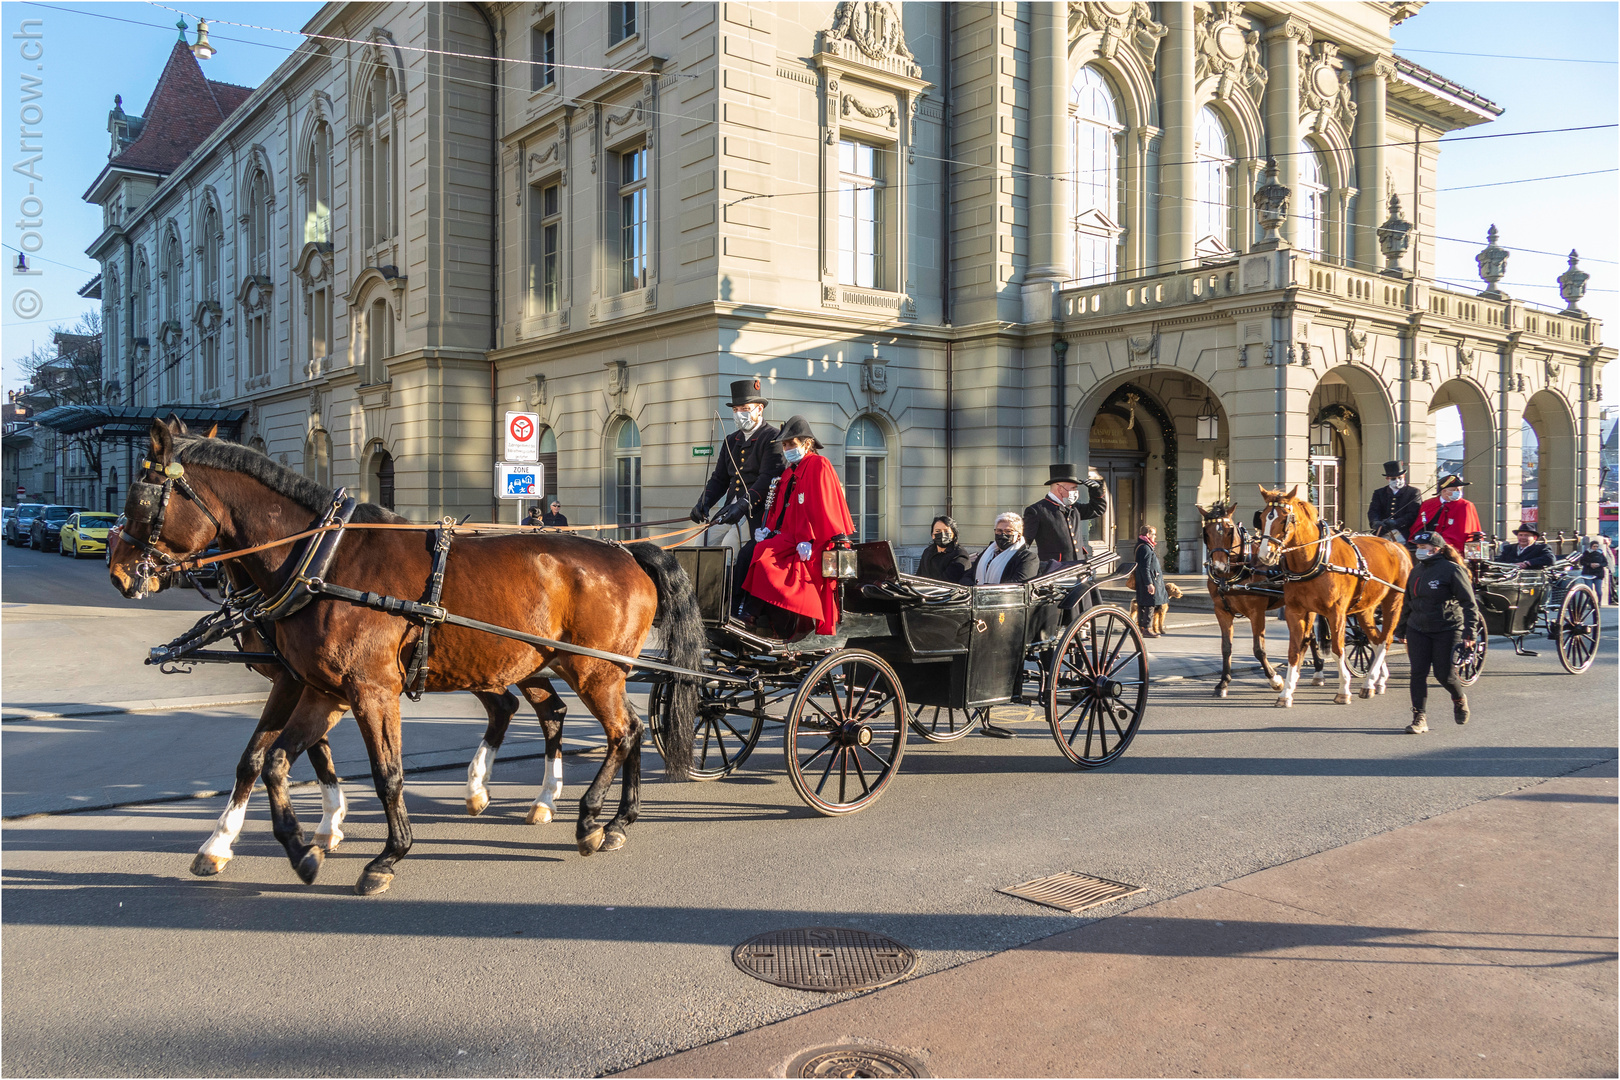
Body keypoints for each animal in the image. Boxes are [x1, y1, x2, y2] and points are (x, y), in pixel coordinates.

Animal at [112, 420, 696, 893]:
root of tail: (628, 551)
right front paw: (288, 845)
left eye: (139, 502)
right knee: (604, 725)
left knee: (622, 732)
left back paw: (590, 818)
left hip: (594, 671)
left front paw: (384, 855)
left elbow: (386, 773)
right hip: (553, 667)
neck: (322, 561)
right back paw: (608, 819)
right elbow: (267, 760)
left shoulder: (368, 690)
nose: (118, 572)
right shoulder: (317, 688)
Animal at [1198, 501, 1321, 696]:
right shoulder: (1221, 611)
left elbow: (1259, 649)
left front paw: (1275, 679)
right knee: (1310, 636)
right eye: (1207, 532)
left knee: (1308, 636)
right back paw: (1316, 671)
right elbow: (1226, 648)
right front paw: (1223, 682)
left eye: (1229, 531)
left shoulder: (1257, 612)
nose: (1219, 567)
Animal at [1250, 488, 1406, 709]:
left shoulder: (1336, 613)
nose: (1265, 555)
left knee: (1386, 639)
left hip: (1393, 601)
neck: (1314, 560)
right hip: (1365, 609)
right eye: (1262, 518)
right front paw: (1286, 693)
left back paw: (1369, 681)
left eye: (1283, 519)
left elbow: (1337, 649)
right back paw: (1378, 680)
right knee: (1374, 639)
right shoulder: (1296, 611)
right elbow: (1294, 651)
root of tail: (1397, 547)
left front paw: (1343, 690)